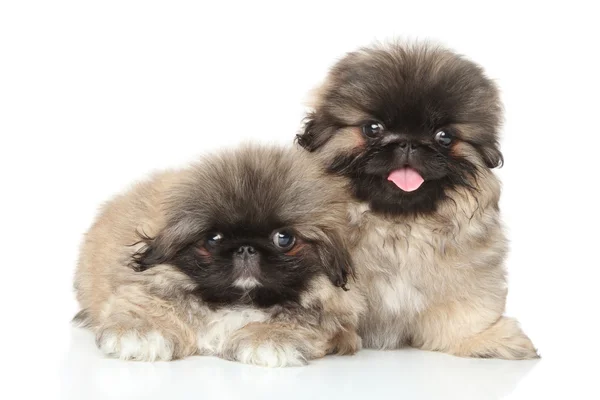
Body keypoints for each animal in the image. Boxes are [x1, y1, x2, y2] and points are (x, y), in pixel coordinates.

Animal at [72, 145, 364, 368]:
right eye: (213, 239)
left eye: (284, 239)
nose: (246, 248)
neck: (238, 301)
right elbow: (147, 307)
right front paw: (140, 332)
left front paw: (268, 339)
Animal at [298, 40, 540, 360]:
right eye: (372, 128)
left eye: (444, 136)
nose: (408, 142)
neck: (397, 224)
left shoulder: (468, 277)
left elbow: (467, 314)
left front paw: (484, 338)